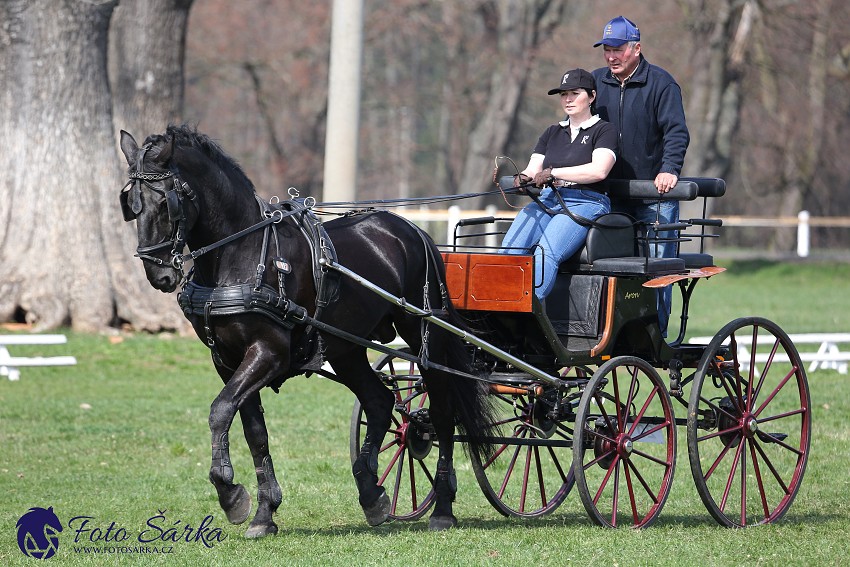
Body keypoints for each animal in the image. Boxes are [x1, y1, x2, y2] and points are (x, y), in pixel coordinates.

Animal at [117, 126, 490, 540]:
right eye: (131, 204)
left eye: (166, 203)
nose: (158, 274)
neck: (242, 253)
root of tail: (412, 231)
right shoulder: (227, 361)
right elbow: (253, 430)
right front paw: (264, 512)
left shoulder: (268, 352)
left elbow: (220, 410)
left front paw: (230, 494)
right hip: (346, 349)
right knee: (378, 401)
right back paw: (370, 493)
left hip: (425, 336)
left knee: (441, 412)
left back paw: (442, 507)